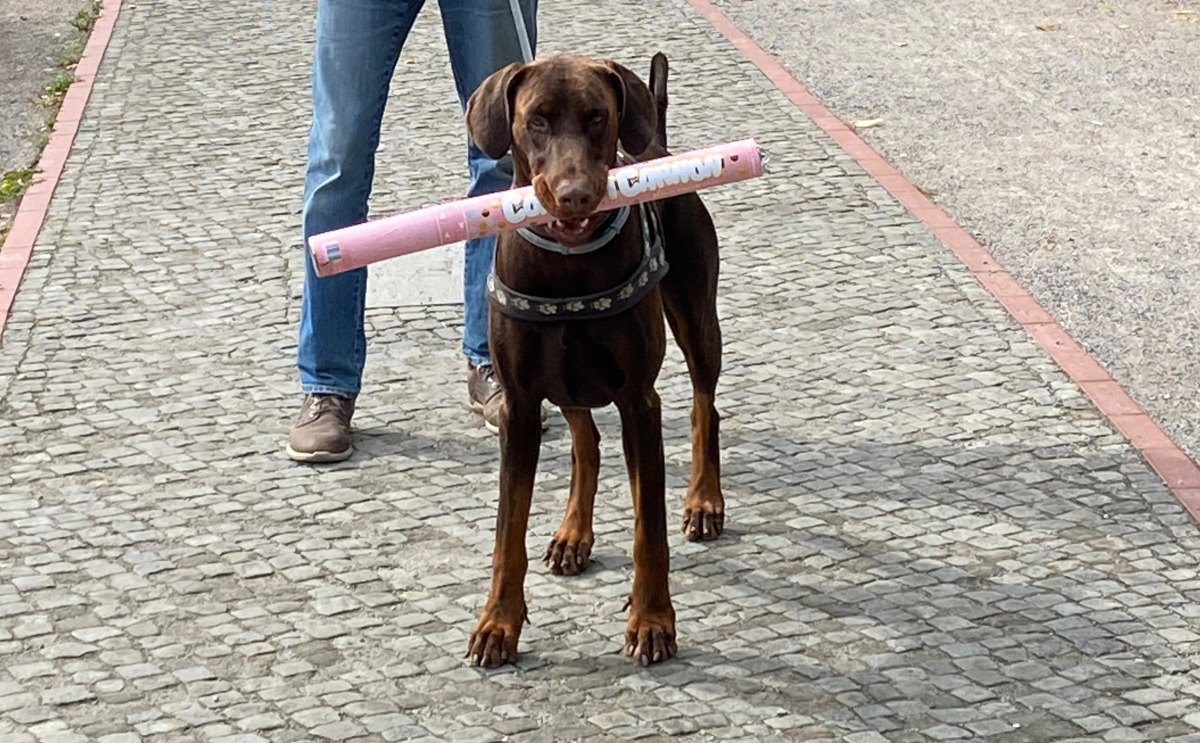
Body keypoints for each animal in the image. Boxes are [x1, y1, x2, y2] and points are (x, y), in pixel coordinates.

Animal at [460, 52, 720, 667]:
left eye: (597, 117)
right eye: (537, 119)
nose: (575, 194)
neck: (567, 267)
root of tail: (657, 148)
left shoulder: (639, 401)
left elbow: (650, 528)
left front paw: (652, 622)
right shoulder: (520, 405)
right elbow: (508, 531)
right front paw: (497, 624)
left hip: (697, 319)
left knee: (706, 406)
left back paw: (704, 501)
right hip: (566, 375)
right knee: (587, 442)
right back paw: (573, 535)